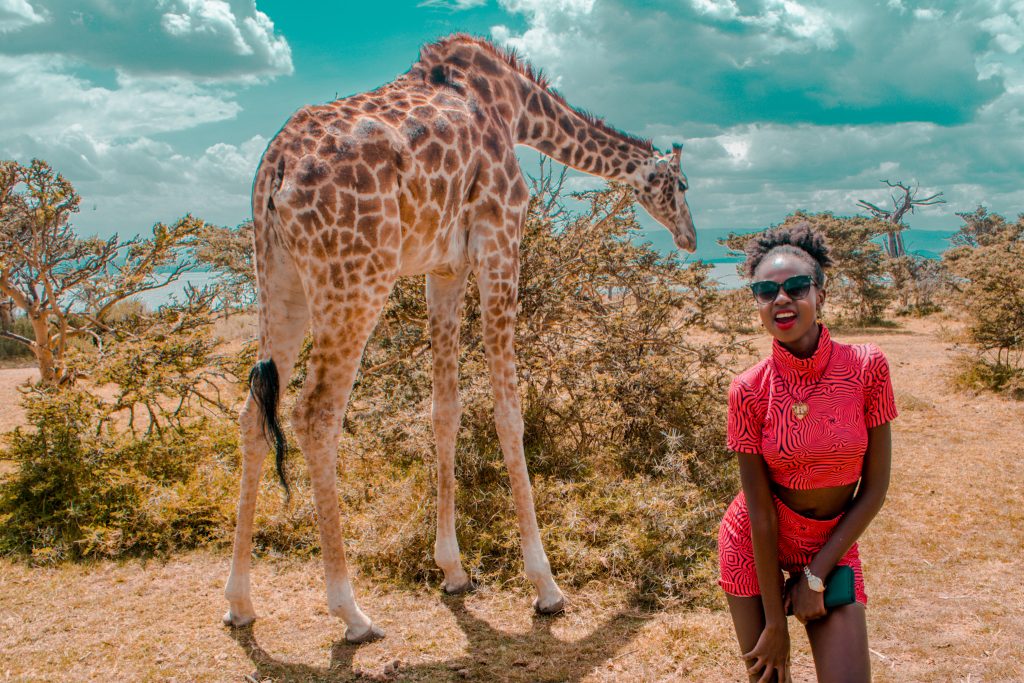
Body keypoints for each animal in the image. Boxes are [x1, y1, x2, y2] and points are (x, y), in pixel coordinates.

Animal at [226, 33, 696, 643]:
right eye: (680, 185)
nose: (691, 237)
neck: (517, 109)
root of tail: (276, 168)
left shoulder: (442, 268)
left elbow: (445, 409)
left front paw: (453, 571)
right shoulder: (501, 236)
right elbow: (507, 412)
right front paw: (545, 585)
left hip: (278, 280)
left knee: (253, 413)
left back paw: (239, 601)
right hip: (355, 277)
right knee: (316, 414)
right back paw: (351, 612)